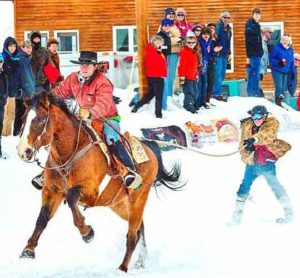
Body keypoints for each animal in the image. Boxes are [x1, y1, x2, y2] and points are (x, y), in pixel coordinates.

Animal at [17, 92, 184, 272]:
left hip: (139, 200)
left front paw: (87, 232)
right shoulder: (51, 191)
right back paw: (141, 261)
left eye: (40, 119)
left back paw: (123, 268)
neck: (71, 152)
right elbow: (42, 219)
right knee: (140, 227)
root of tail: (148, 148)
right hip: (117, 204)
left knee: (133, 235)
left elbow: (71, 197)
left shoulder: (90, 192)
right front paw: (28, 250)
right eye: (24, 118)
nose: (22, 151)